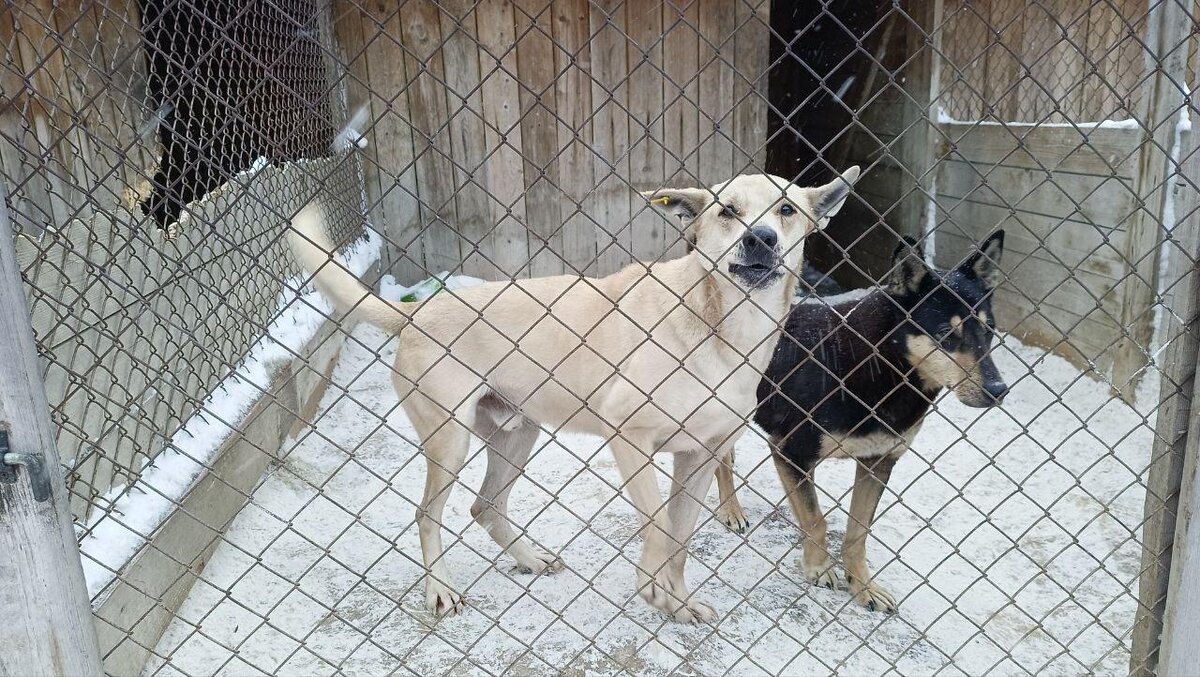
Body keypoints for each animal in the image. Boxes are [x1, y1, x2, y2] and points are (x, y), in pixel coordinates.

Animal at [285, 169, 859, 624]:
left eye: (786, 210)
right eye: (726, 212)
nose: (760, 239)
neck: (722, 324)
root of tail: (415, 312)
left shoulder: (700, 455)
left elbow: (680, 539)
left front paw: (678, 604)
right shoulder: (629, 439)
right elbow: (657, 526)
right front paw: (654, 592)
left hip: (517, 435)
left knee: (484, 506)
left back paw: (529, 558)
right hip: (450, 443)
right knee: (429, 513)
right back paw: (441, 591)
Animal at [715, 232, 1008, 614]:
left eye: (990, 330)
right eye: (946, 332)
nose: (998, 390)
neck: (879, 362)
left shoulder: (878, 461)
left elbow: (858, 532)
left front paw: (863, 586)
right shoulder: (791, 452)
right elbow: (816, 520)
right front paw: (818, 568)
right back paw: (730, 509)